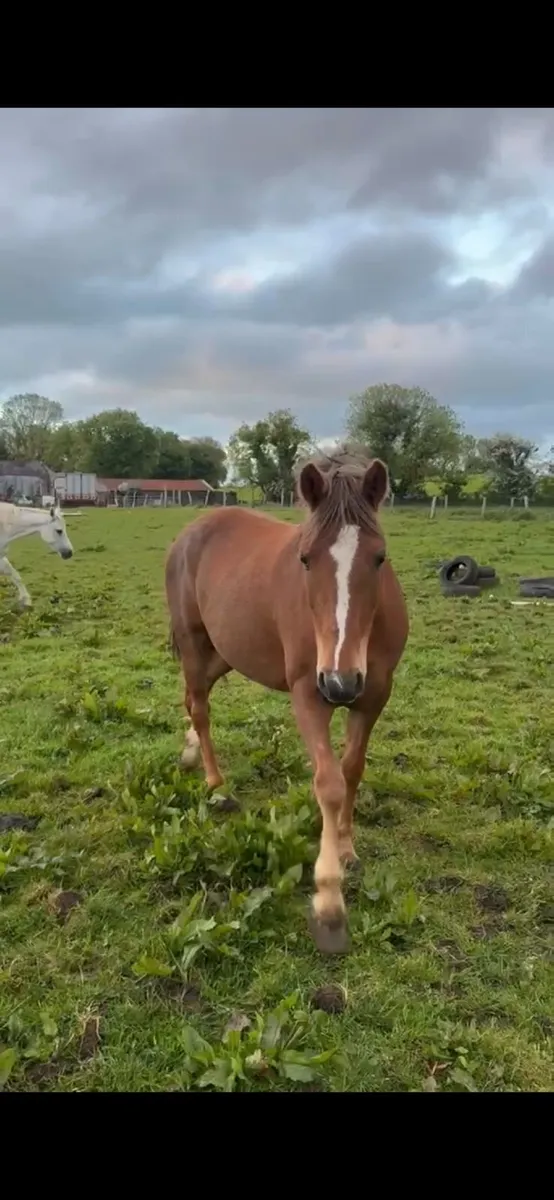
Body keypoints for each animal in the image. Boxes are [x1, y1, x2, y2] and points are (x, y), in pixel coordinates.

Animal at [165, 446, 409, 954]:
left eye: (379, 557)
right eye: (305, 559)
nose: (339, 684)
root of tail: (191, 531)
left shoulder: (374, 695)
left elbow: (352, 771)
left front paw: (347, 847)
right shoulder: (307, 694)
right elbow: (329, 783)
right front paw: (330, 905)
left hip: (226, 654)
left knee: (191, 699)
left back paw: (190, 753)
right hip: (195, 645)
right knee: (200, 706)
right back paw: (215, 783)